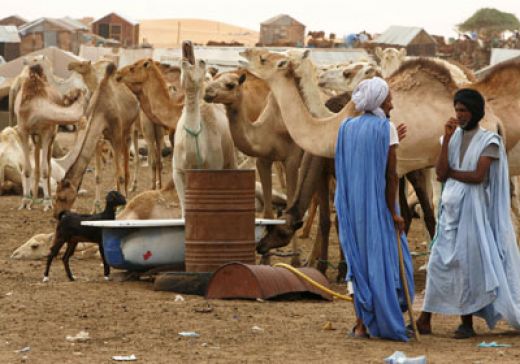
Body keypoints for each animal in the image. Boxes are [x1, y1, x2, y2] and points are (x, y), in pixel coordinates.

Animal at [14, 64, 86, 209]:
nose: (86, 90)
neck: (34, 107)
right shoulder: (23, 131)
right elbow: (27, 169)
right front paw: (25, 201)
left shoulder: (46, 132)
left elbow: (45, 170)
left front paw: (47, 202)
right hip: (35, 137)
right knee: (36, 164)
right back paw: (33, 200)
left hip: (50, 135)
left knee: (48, 165)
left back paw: (45, 200)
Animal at [52, 64, 140, 218]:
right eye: (56, 195)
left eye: (63, 197)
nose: (56, 214)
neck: (101, 111)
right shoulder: (99, 140)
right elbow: (98, 176)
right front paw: (95, 208)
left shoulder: (116, 136)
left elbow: (120, 175)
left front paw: (120, 207)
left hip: (128, 130)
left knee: (125, 169)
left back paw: (127, 197)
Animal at [202, 71, 300, 219]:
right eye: (214, 78)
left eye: (230, 85)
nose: (207, 92)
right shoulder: (263, 159)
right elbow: (268, 213)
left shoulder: (292, 160)